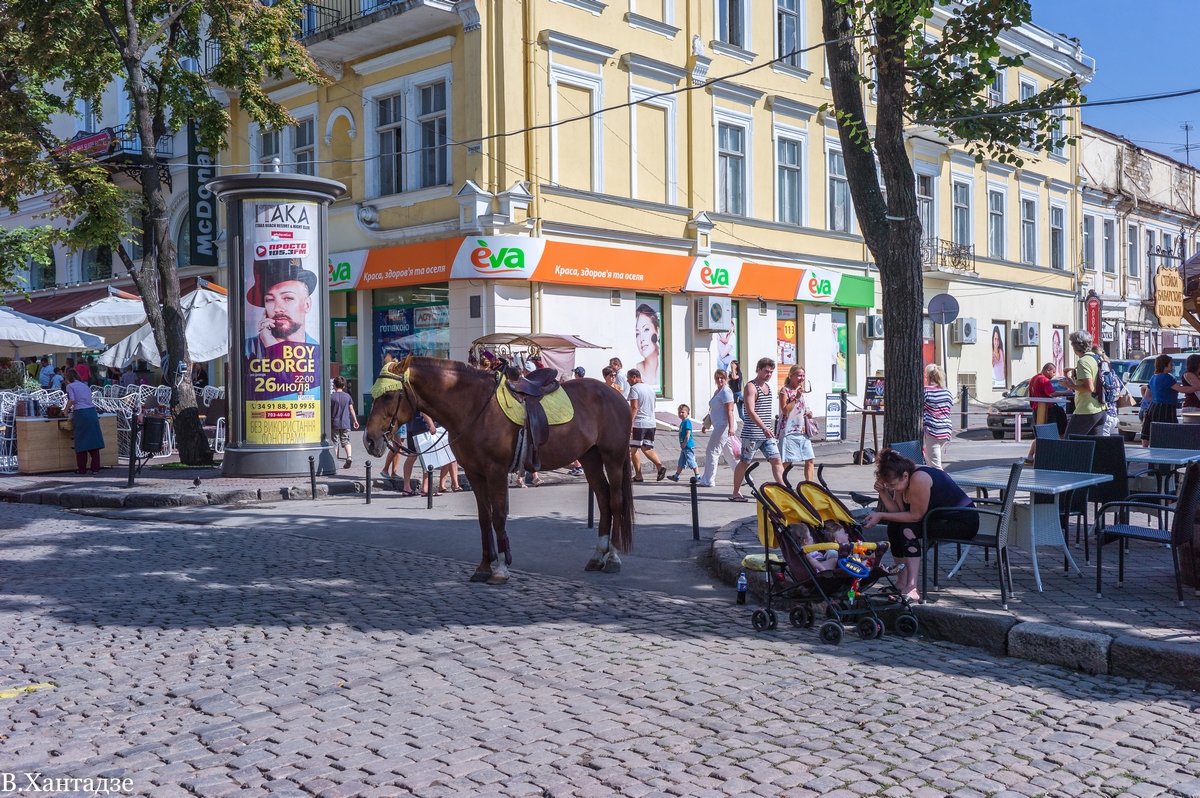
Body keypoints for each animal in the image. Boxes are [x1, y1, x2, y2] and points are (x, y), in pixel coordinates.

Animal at [360, 357, 633, 583]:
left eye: (388, 396)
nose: (370, 440)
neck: (474, 406)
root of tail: (615, 394)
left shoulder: (496, 471)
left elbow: (499, 515)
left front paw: (501, 568)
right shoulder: (475, 473)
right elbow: (484, 518)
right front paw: (483, 567)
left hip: (613, 457)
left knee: (616, 501)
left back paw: (613, 558)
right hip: (590, 457)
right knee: (604, 499)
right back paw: (597, 556)